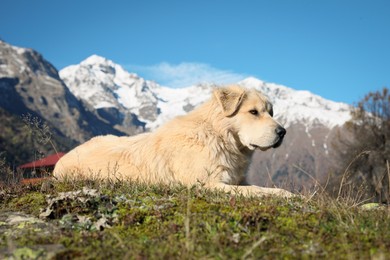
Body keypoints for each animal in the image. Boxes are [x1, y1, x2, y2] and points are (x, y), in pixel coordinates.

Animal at [54, 85, 292, 197]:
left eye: (271, 112)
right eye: (253, 112)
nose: (283, 132)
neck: (217, 135)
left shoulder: (236, 180)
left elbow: (260, 188)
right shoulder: (207, 184)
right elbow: (259, 191)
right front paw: (288, 195)